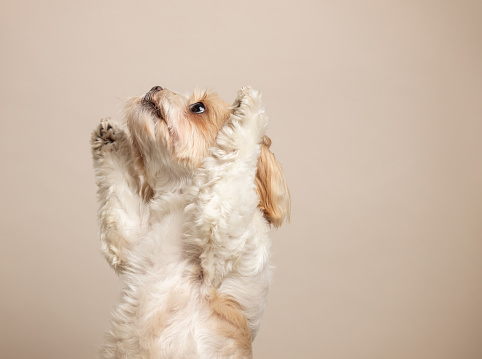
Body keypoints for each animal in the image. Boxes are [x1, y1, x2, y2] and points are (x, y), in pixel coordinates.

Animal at [92, 86, 292, 358]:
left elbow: (234, 155)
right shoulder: (130, 237)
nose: (155, 87)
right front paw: (110, 140)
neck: (182, 199)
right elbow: (118, 189)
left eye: (198, 107)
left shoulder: (223, 228)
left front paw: (249, 109)